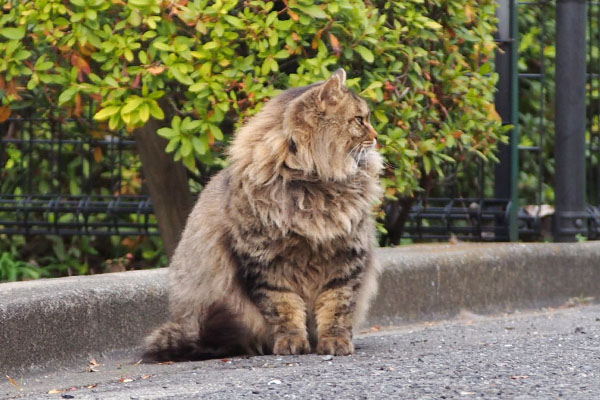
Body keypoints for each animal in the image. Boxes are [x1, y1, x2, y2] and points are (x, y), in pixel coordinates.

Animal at [143, 67, 382, 360]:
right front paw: (291, 343)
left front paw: (335, 342)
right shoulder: (265, 264)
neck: (311, 186)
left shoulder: (346, 259)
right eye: (360, 120)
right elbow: (285, 309)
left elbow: (336, 308)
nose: (376, 136)